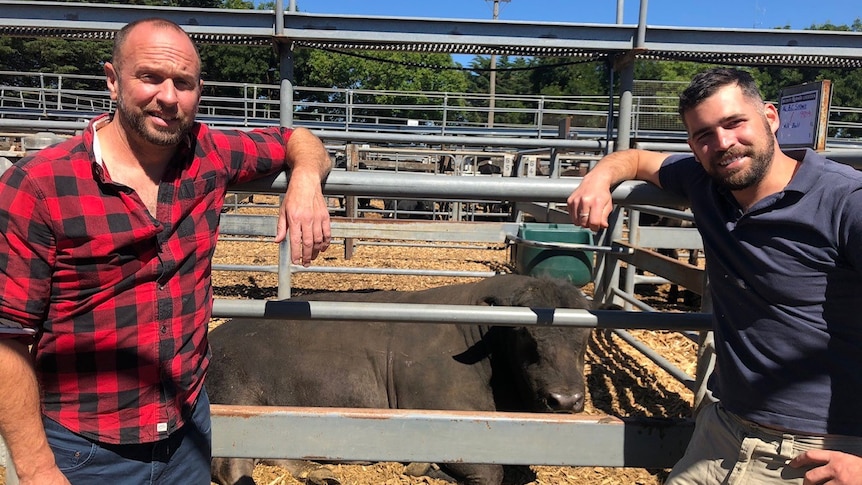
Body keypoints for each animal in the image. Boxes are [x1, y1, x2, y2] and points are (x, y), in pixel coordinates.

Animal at [210, 274, 600, 484]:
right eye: (523, 333)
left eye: (585, 335)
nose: (565, 400)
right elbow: (489, 473)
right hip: (236, 399)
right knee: (231, 467)